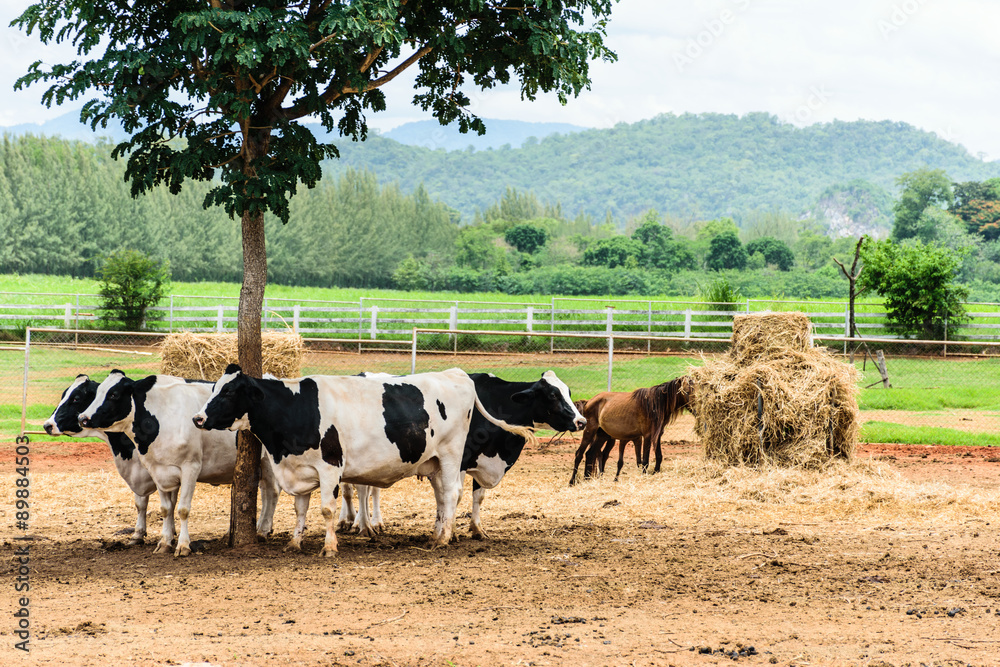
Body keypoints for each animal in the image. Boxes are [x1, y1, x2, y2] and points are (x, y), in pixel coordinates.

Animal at [77, 371, 280, 557]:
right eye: (97, 393)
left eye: (113, 394)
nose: (82, 418)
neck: (162, 420)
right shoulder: (157, 470)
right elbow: (166, 509)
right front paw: (165, 542)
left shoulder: (191, 467)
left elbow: (183, 509)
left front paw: (183, 545)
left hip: (269, 461)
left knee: (271, 493)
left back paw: (262, 530)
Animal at [191, 365, 535, 555]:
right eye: (215, 388)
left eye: (230, 392)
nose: (197, 418)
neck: (297, 408)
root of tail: (457, 373)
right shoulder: (299, 467)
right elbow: (300, 509)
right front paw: (295, 543)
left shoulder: (329, 466)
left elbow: (327, 509)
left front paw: (329, 547)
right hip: (435, 461)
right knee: (441, 497)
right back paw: (437, 533)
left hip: (451, 455)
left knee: (452, 494)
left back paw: (444, 539)